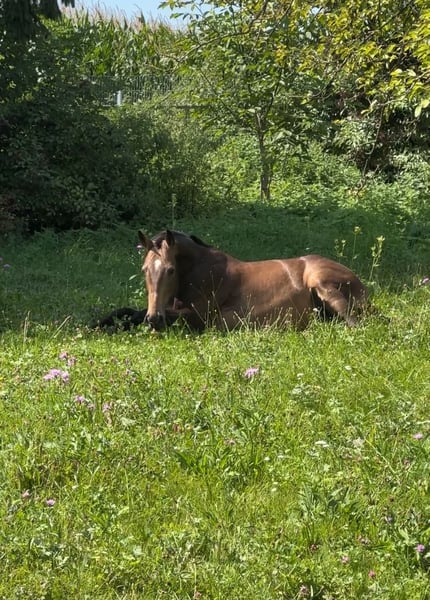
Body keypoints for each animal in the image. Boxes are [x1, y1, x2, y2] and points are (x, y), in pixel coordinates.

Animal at [95, 229, 369, 332]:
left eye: (171, 270)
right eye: (144, 270)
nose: (155, 319)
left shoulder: (197, 317)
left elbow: (135, 315)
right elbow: (127, 311)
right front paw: (99, 323)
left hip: (323, 285)